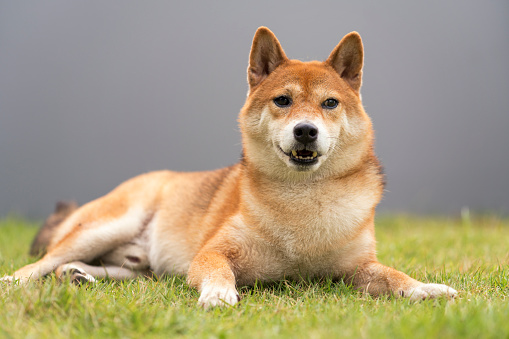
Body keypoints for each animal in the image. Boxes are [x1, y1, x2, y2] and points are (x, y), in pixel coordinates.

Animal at [1, 26, 458, 308]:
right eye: (282, 100)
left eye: (330, 103)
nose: (306, 131)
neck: (304, 203)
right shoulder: (213, 252)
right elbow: (218, 269)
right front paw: (219, 295)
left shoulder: (357, 268)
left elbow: (395, 276)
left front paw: (426, 288)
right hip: (105, 225)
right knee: (40, 264)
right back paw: (19, 282)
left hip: (138, 267)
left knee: (102, 269)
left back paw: (78, 276)